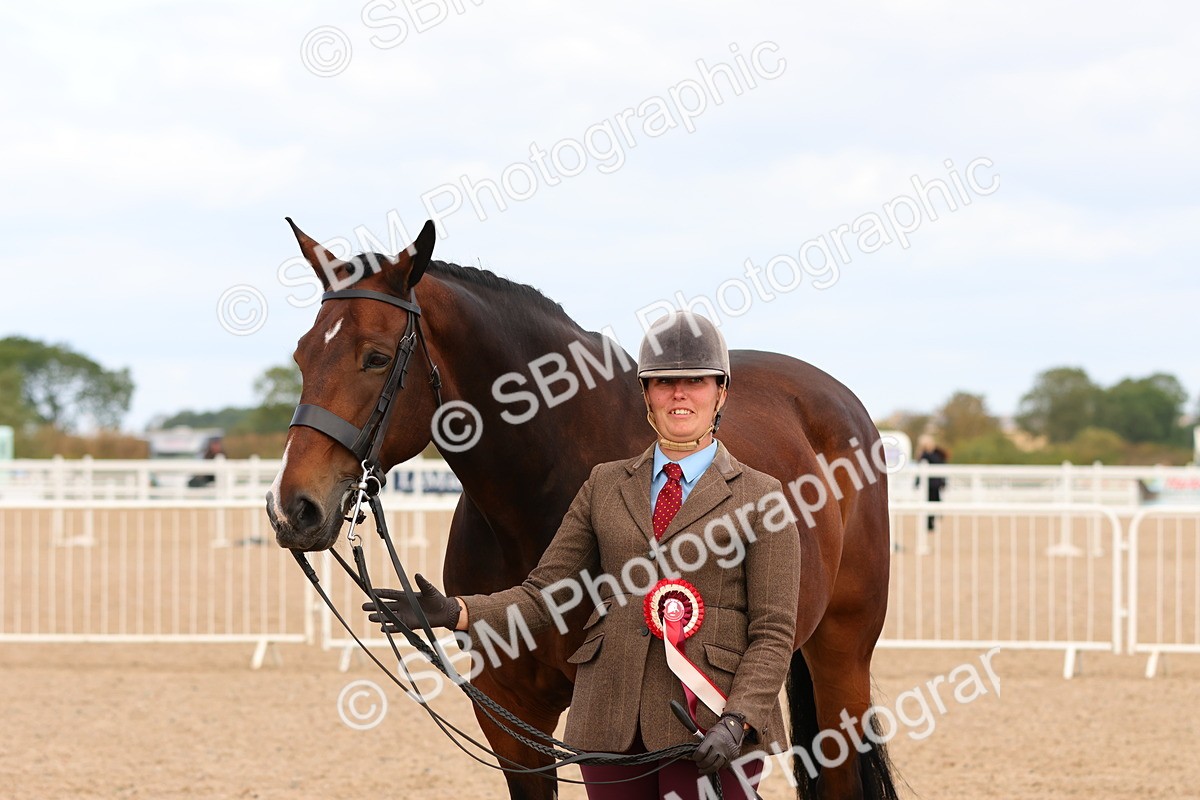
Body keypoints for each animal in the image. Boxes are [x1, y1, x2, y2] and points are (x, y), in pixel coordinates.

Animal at [266, 219, 899, 800]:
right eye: (300, 355)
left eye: (375, 358)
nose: (292, 509)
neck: (537, 495)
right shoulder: (512, 716)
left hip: (841, 660)